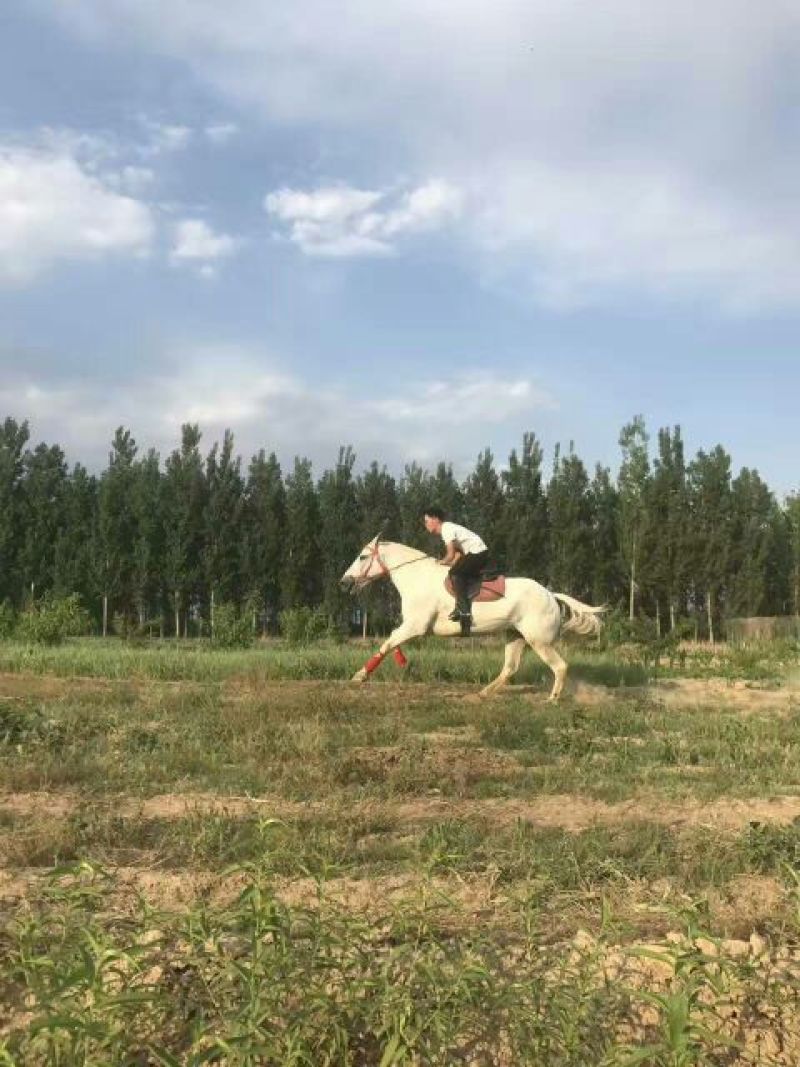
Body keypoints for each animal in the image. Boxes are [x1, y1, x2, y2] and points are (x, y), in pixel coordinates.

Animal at [340, 535, 605, 701]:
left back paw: (552, 699)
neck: (416, 577)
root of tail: (551, 595)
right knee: (510, 668)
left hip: (539, 641)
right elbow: (392, 642)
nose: (344, 582)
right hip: (515, 636)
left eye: (362, 557)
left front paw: (359, 676)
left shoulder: (416, 625)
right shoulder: (412, 626)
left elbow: (388, 642)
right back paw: (482, 694)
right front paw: (399, 663)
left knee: (560, 667)